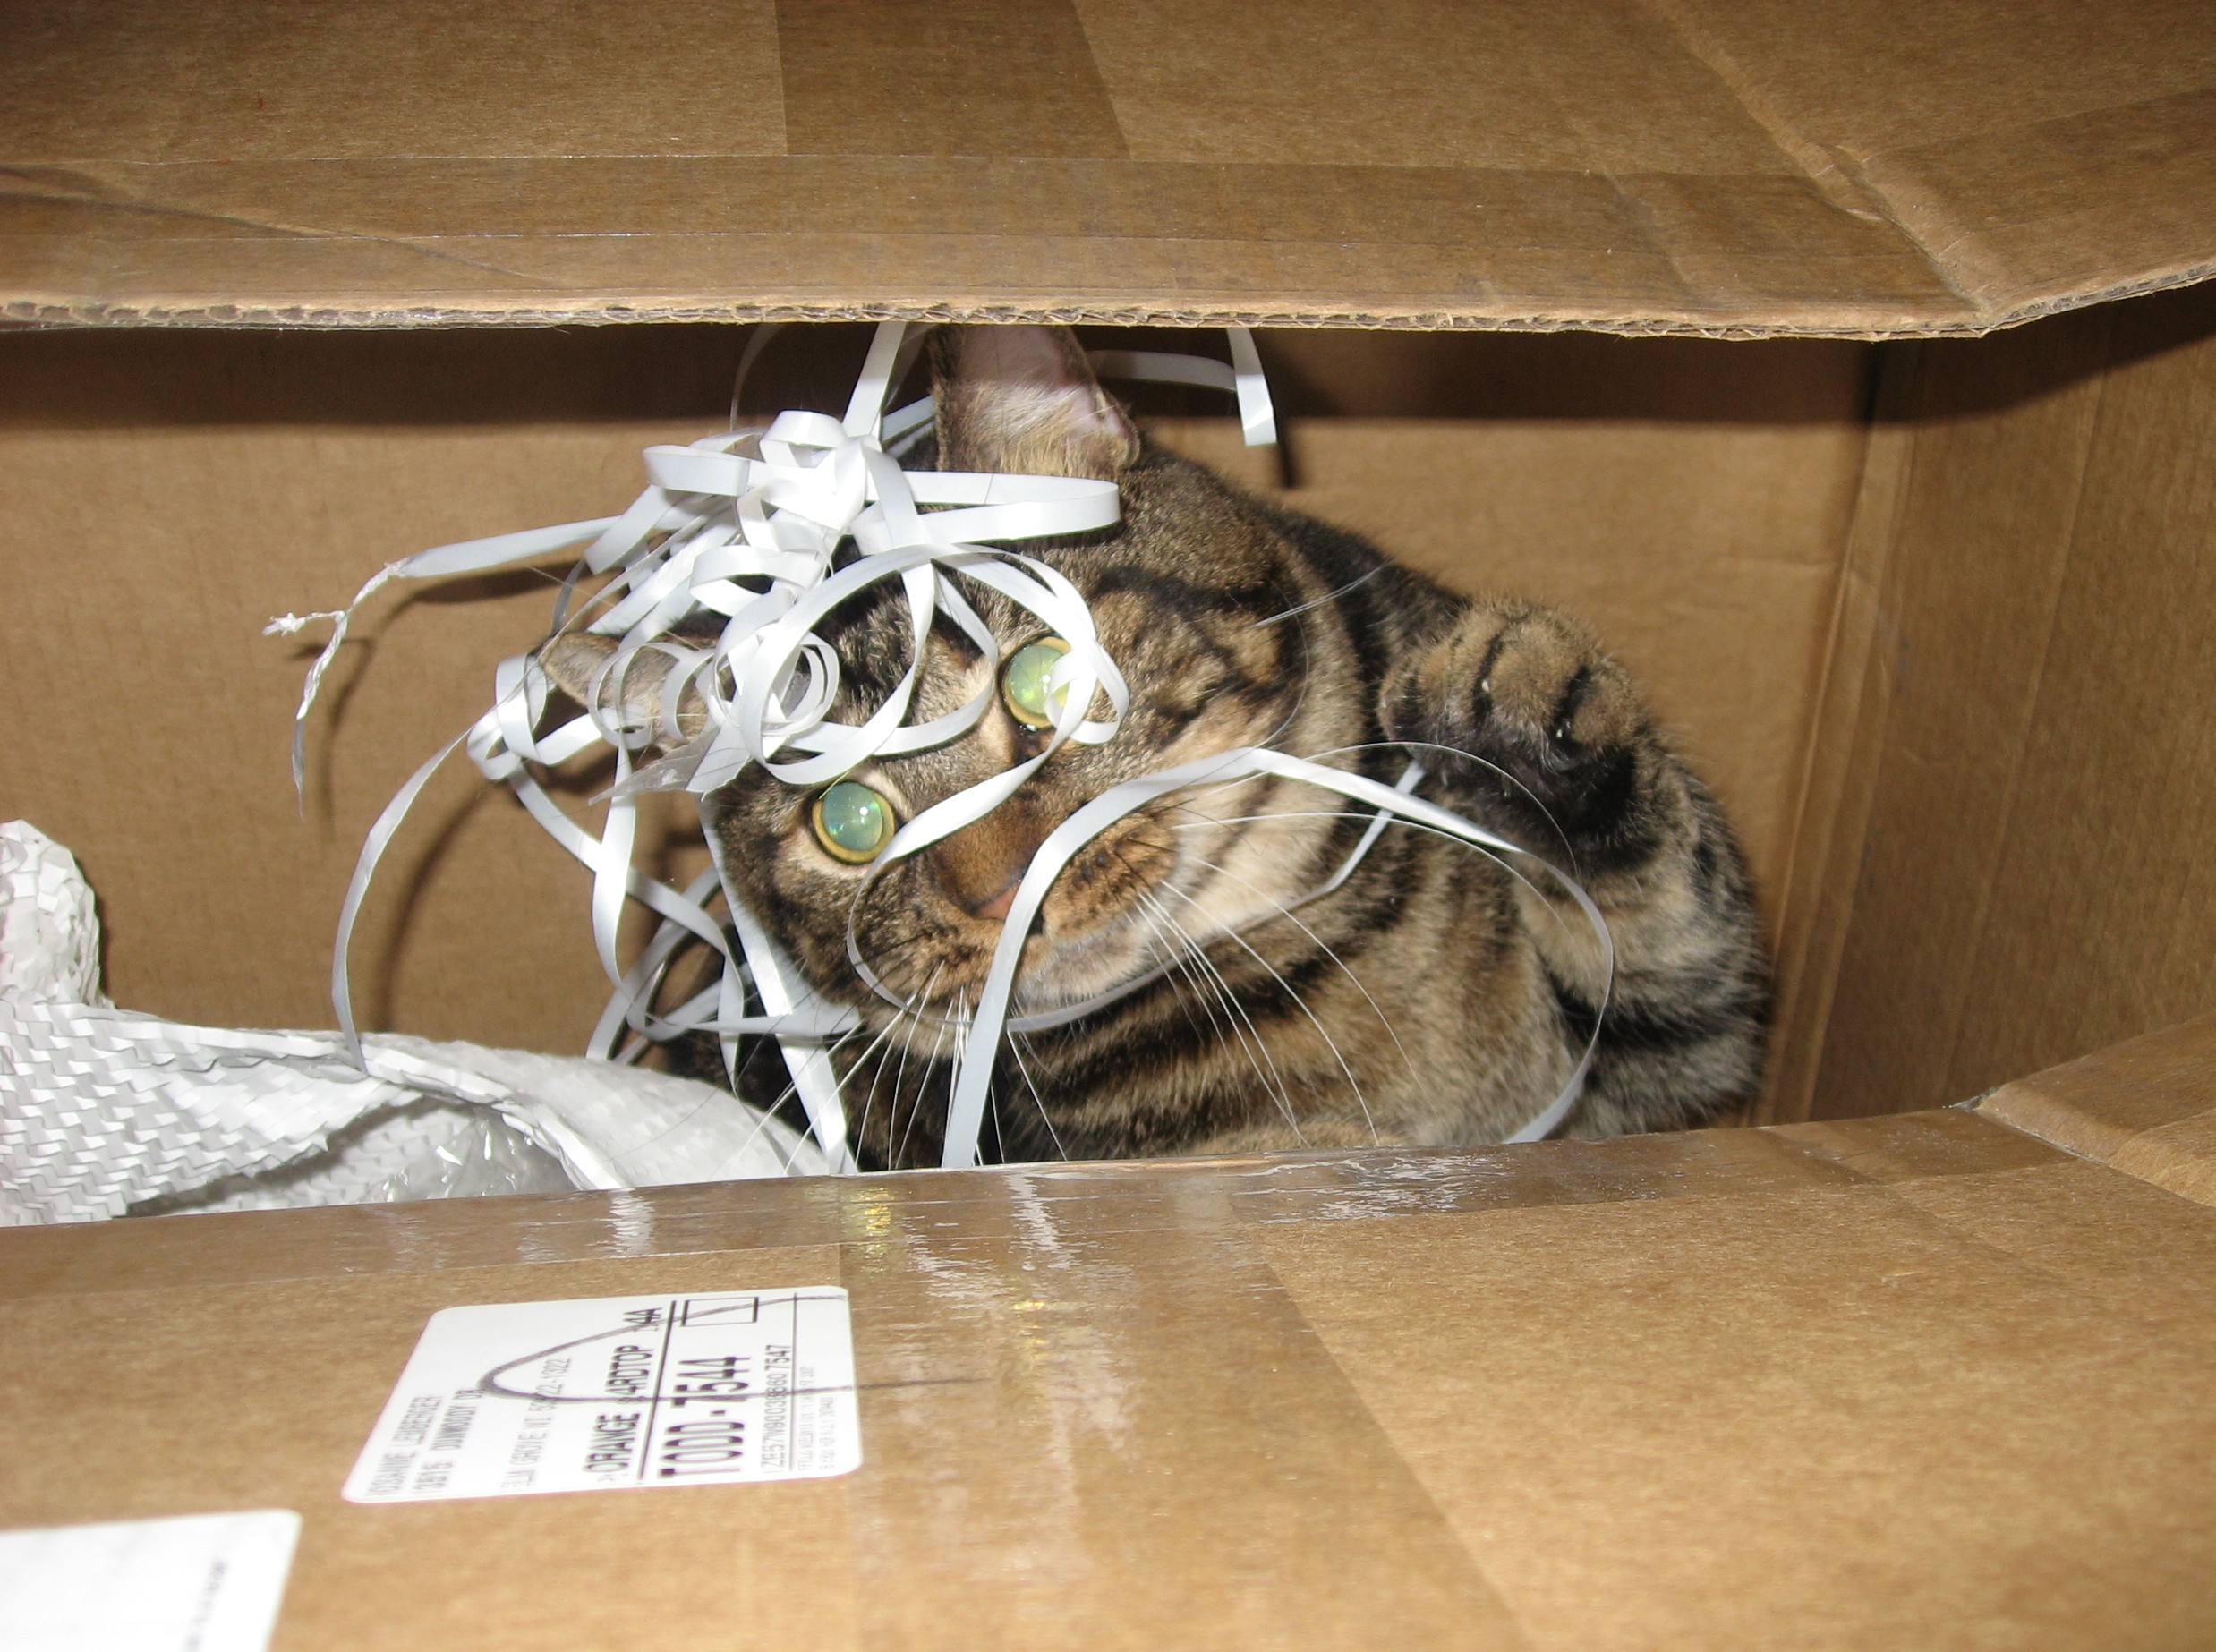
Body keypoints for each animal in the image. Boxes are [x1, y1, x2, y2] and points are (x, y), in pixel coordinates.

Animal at [545, 325, 1769, 1169]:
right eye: (844, 820)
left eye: (1044, 674)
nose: (998, 894)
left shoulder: (1673, 1059)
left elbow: (1661, 911)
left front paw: (1517, 701)